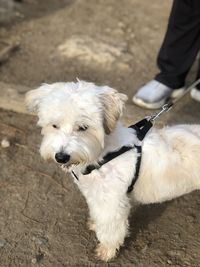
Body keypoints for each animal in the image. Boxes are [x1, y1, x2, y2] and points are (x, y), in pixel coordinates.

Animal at [25, 81, 199, 262]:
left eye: (83, 127)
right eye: (54, 125)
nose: (61, 157)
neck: (103, 154)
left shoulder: (112, 203)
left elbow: (111, 229)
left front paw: (107, 250)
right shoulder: (95, 196)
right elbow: (97, 214)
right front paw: (95, 224)